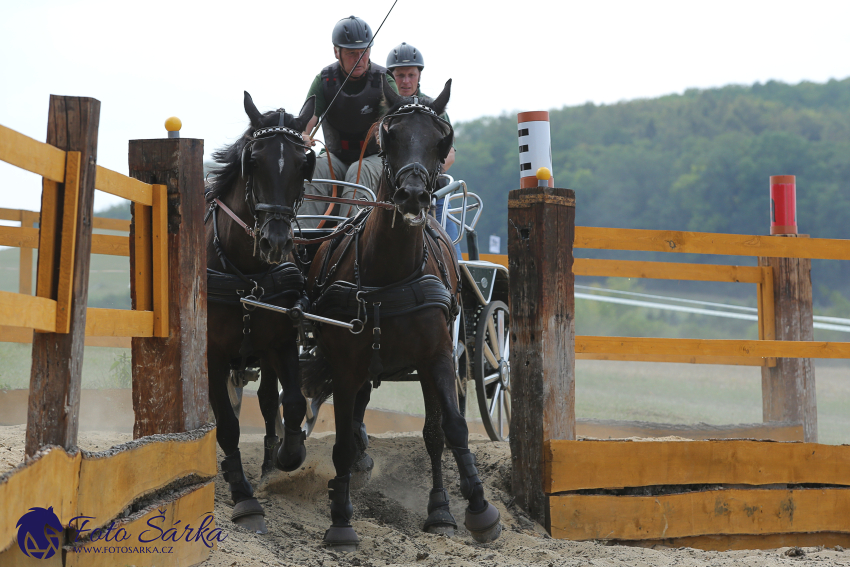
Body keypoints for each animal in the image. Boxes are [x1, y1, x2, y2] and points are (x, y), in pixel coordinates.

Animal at [304, 80, 500, 552]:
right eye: (388, 136)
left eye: (443, 139)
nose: (412, 195)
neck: (389, 273)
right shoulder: (346, 363)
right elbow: (341, 439)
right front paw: (341, 519)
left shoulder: (437, 358)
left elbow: (450, 429)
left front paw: (477, 510)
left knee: (434, 432)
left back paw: (441, 510)